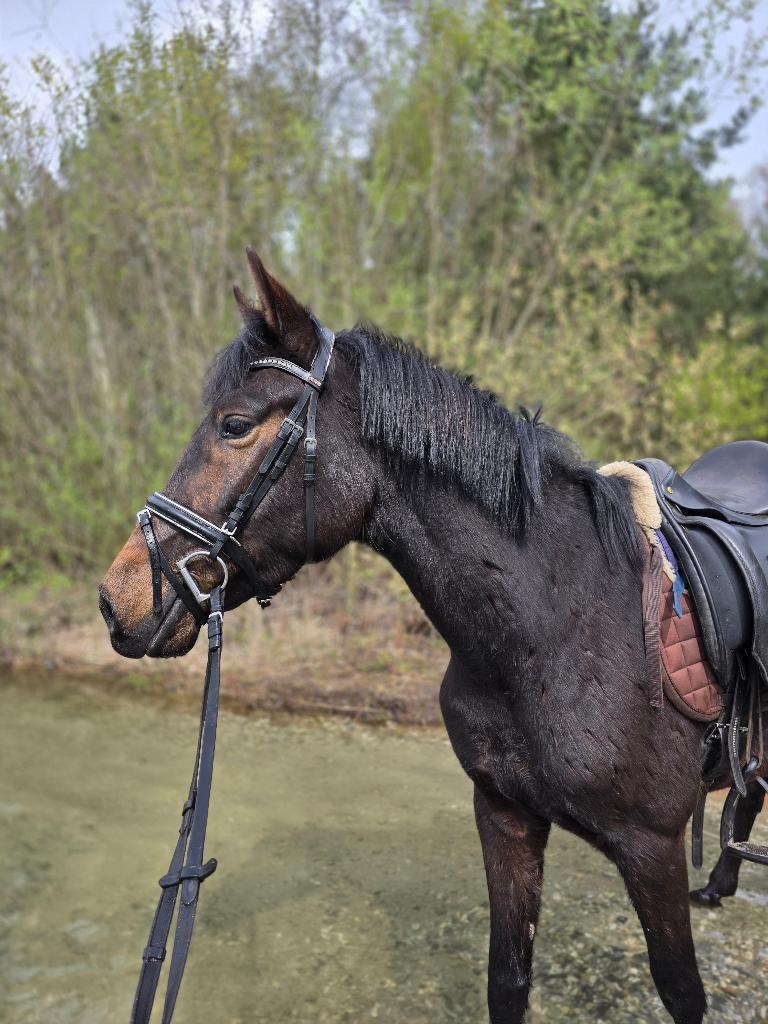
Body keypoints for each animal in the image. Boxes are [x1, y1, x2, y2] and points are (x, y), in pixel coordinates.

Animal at [100, 248, 764, 1024]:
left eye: (234, 424)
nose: (116, 601)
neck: (557, 628)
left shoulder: (651, 850)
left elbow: (682, 992)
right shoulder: (504, 815)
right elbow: (507, 980)